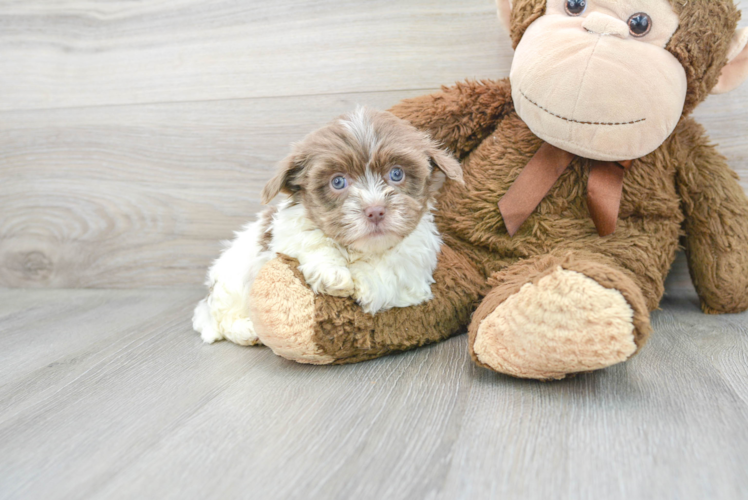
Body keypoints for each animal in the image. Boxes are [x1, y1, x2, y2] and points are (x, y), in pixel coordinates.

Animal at [193, 107, 462, 346]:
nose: (375, 211)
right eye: (338, 181)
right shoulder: (288, 231)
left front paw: (368, 283)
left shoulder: (417, 260)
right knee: (222, 319)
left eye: (397, 174)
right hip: (232, 280)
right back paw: (247, 330)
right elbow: (313, 240)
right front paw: (332, 274)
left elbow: (395, 268)